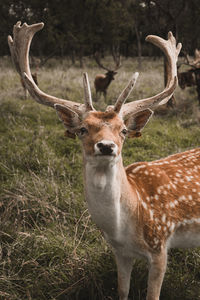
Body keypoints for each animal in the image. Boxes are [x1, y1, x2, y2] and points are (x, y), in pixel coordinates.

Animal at [8, 21, 200, 300]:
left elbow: (152, 295)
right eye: (82, 129)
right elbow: (122, 291)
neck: (126, 225)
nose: (106, 146)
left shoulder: (160, 246)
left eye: (123, 130)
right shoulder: (120, 253)